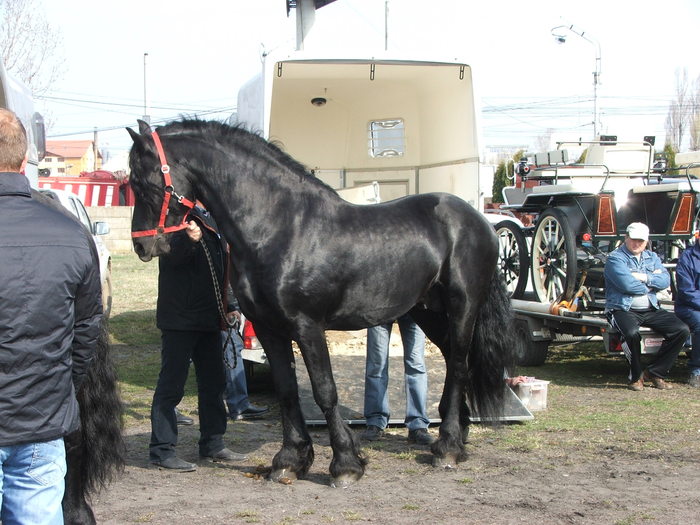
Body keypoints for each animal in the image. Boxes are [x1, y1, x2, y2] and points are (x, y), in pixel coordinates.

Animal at [129, 118, 516, 488]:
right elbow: (287, 391)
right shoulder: (270, 329)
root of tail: (479, 220)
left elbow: (325, 392)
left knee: (461, 365)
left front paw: (345, 465)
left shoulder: (308, 326)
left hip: (463, 306)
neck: (280, 228)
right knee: (454, 362)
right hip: (429, 312)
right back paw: (457, 440)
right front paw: (289, 461)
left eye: (143, 182)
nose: (142, 246)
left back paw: (447, 447)